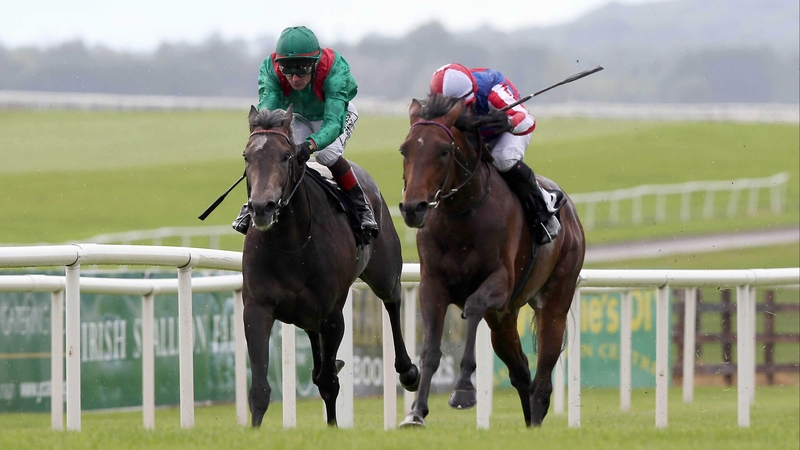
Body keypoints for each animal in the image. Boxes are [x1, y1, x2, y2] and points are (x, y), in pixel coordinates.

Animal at [241, 105, 419, 427]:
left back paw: (408, 370)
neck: (291, 243)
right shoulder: (257, 308)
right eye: (247, 156)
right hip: (307, 314)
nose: (262, 207)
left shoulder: (332, 315)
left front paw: (333, 427)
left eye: (286, 156)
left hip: (384, 272)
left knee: (393, 300)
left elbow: (328, 383)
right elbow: (260, 388)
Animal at [397, 94, 585, 428]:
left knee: (543, 375)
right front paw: (416, 412)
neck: (461, 216)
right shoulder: (432, 285)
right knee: (521, 370)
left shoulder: (499, 282)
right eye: (405, 149)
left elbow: (472, 308)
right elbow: (431, 350)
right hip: (503, 317)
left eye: (444, 151)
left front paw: (463, 391)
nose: (412, 208)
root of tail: (571, 212)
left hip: (555, 299)